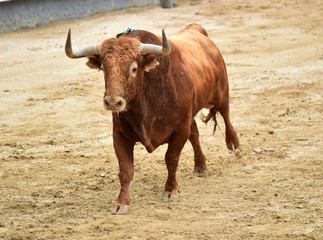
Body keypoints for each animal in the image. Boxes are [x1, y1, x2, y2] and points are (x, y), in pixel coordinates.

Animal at [64, 24, 239, 215]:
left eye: (134, 69)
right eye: (103, 68)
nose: (112, 102)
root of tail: (195, 30)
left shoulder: (179, 130)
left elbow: (171, 159)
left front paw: (170, 191)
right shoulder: (119, 136)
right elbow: (125, 169)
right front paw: (121, 203)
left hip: (221, 93)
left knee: (226, 114)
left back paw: (233, 143)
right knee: (195, 134)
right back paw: (200, 166)